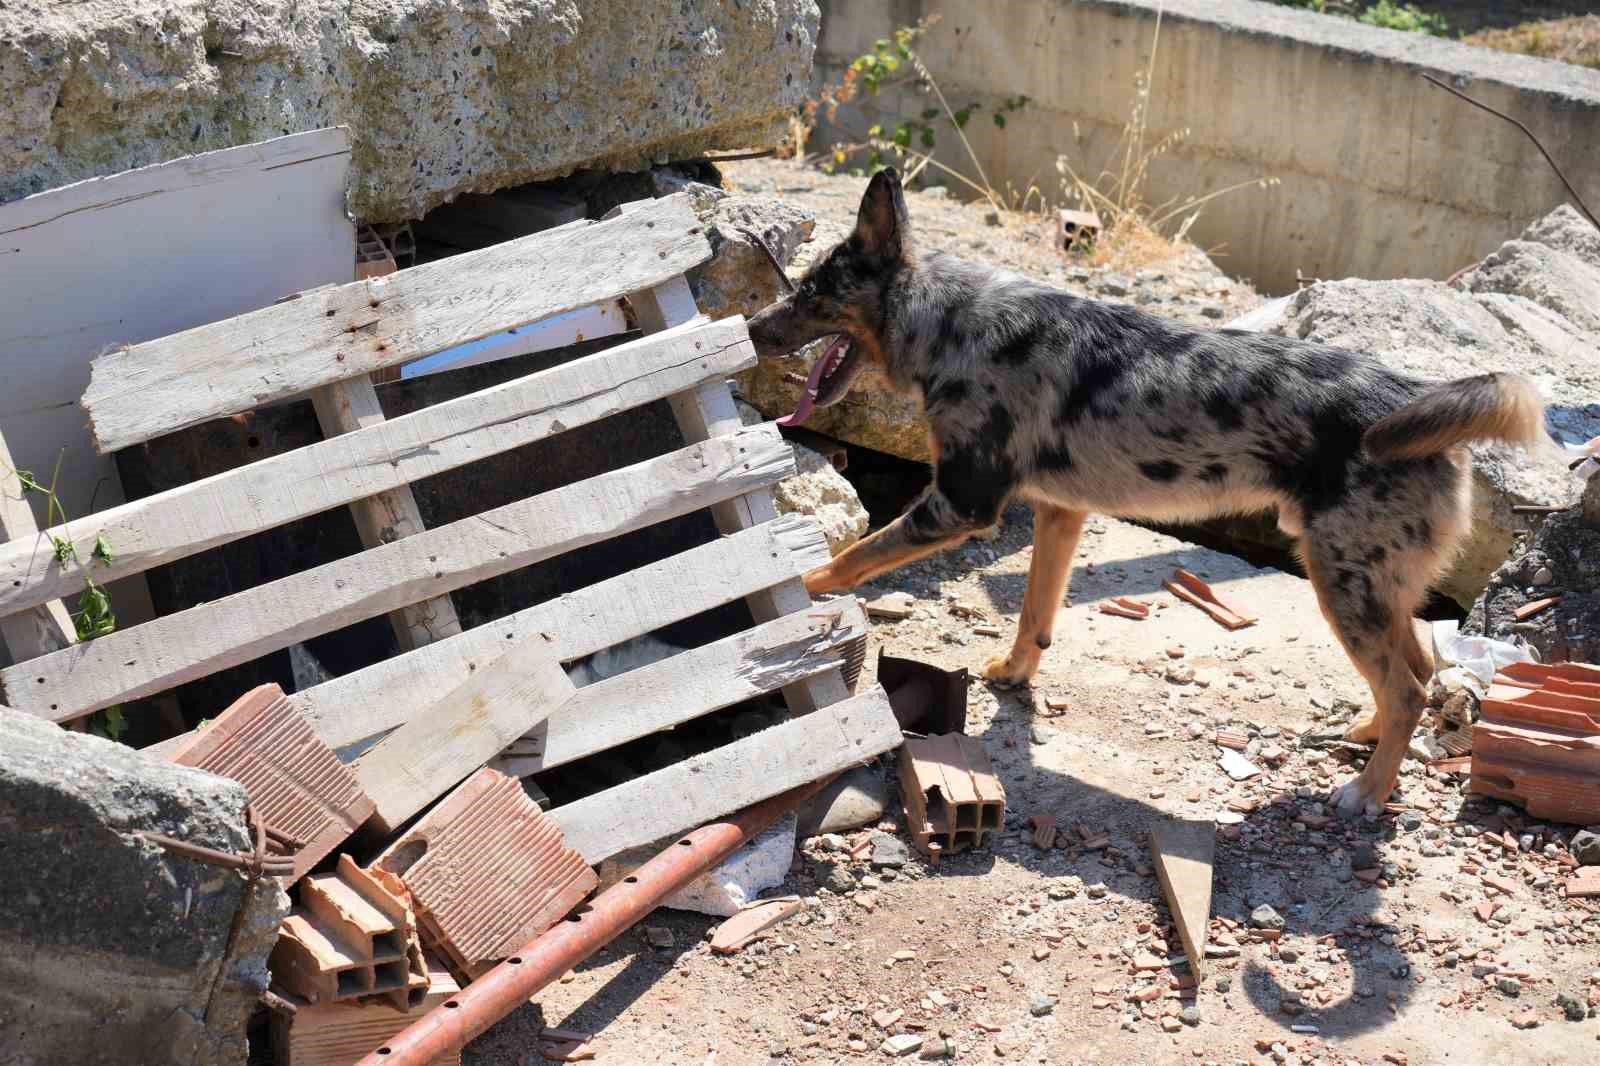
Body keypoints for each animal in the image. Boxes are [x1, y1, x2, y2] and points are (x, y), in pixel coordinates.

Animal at [748, 168, 1548, 813]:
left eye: (813, 292)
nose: (750, 327)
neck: (951, 318)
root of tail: (1413, 395)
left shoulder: (961, 506)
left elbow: (847, 560)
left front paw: (795, 600)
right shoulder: (1060, 513)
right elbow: (1035, 613)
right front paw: (1014, 672)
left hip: (1344, 585)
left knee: (1410, 689)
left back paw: (1369, 792)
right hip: (1376, 590)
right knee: (1417, 669)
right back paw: (1368, 733)